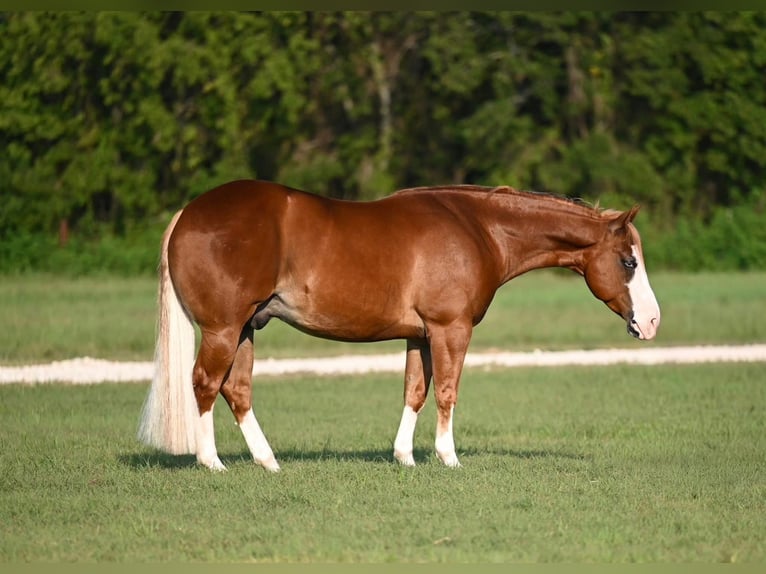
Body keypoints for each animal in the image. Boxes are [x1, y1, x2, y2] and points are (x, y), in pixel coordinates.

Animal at [138, 179, 660, 471]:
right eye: (628, 261)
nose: (652, 321)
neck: (478, 228)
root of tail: (189, 212)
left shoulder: (419, 334)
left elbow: (415, 391)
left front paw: (405, 457)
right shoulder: (451, 329)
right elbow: (447, 390)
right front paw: (448, 457)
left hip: (247, 327)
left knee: (236, 390)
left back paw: (268, 462)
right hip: (224, 330)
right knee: (205, 384)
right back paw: (212, 462)